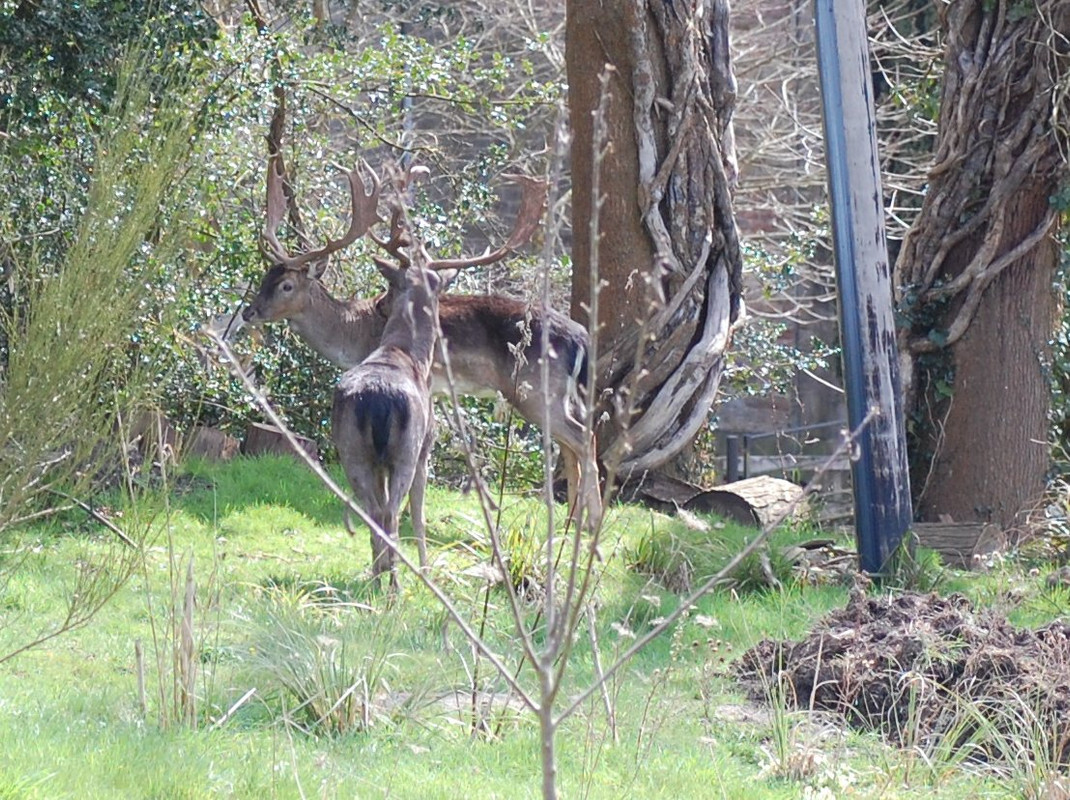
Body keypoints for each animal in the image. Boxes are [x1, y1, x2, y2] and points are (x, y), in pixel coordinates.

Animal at [242, 151, 602, 569]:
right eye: (265, 276)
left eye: (286, 285)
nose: (250, 312)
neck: (357, 334)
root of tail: (581, 337)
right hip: (560, 394)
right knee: (573, 443)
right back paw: (573, 526)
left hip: (533, 389)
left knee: (582, 438)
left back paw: (592, 526)